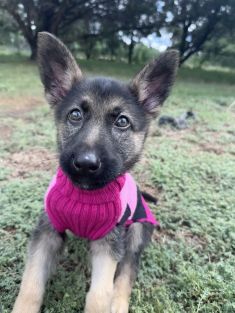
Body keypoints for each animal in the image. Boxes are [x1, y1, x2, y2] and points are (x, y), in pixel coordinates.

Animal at [11, 32, 178, 312]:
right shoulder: (47, 232)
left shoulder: (109, 243)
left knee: (127, 271)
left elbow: (101, 293)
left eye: (122, 121)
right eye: (75, 115)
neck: (85, 194)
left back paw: (119, 303)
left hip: (137, 230)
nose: (86, 164)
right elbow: (31, 284)